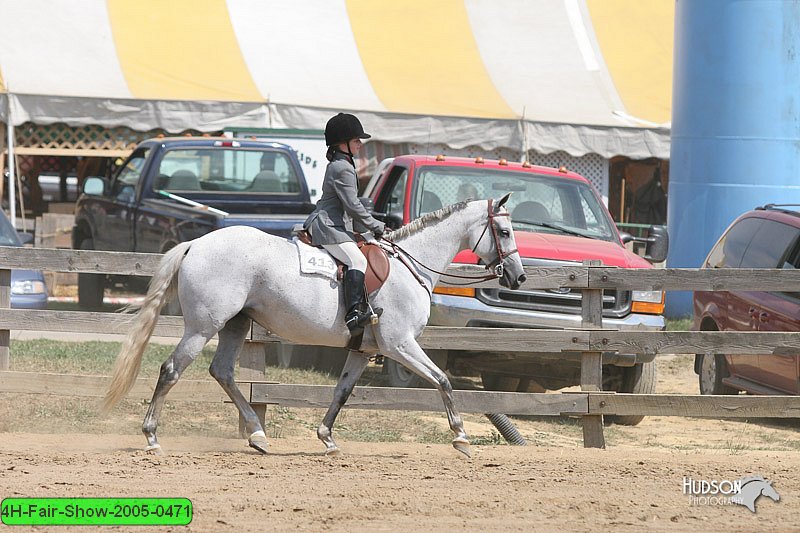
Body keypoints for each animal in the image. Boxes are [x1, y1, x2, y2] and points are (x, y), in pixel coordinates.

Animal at [101, 195, 524, 458]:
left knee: (222, 371)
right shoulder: (399, 345)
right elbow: (443, 381)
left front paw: (327, 439)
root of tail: (197, 243)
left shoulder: (364, 349)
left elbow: (341, 393)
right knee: (171, 370)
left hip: (235, 325)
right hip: (202, 327)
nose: (518, 277)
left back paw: (258, 435)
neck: (410, 264)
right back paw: (152, 437)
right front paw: (461, 437)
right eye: (504, 232)